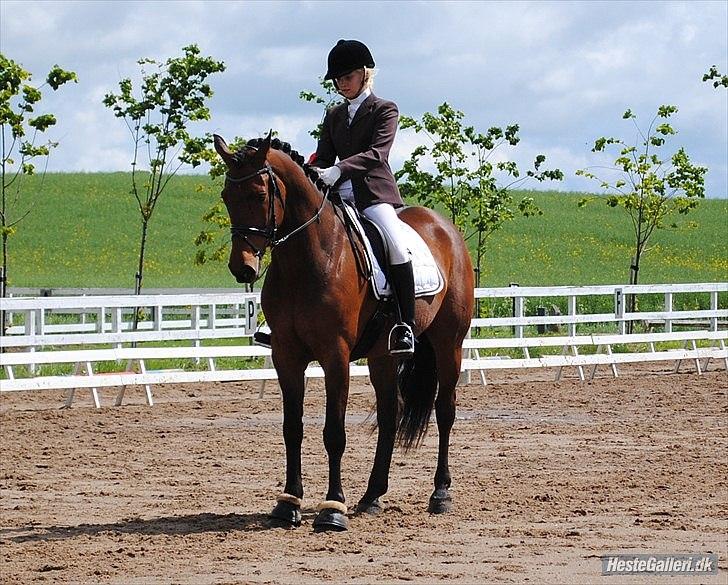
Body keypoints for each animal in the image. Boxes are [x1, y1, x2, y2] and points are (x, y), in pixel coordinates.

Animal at [212, 133, 472, 532]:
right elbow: (292, 428)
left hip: (449, 344)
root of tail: (444, 226)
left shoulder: (336, 356)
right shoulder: (286, 355)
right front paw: (288, 503)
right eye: (227, 196)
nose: (243, 269)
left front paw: (332, 508)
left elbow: (334, 433)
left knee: (445, 411)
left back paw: (440, 494)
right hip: (383, 354)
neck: (306, 260)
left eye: (258, 194)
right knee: (389, 415)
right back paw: (372, 496)